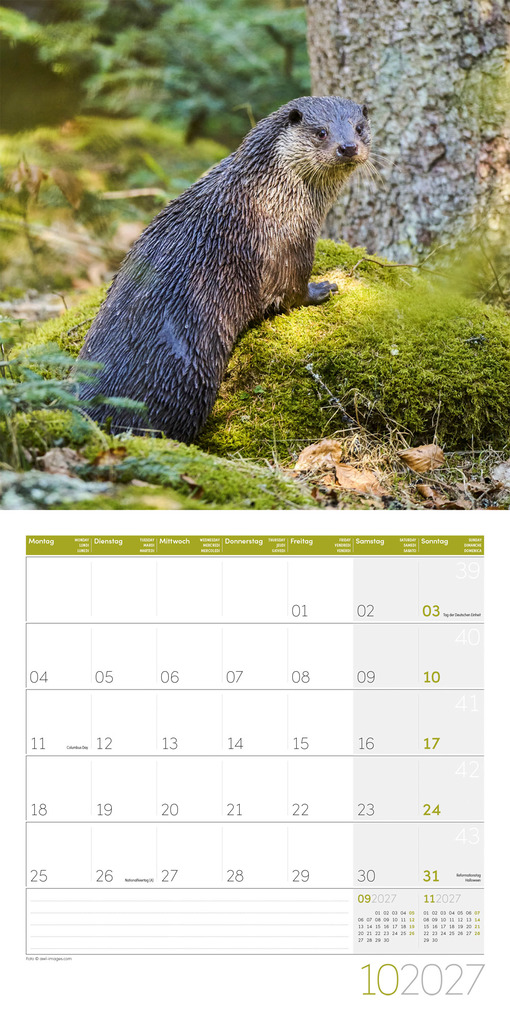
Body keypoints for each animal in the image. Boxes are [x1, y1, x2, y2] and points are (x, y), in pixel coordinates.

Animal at [77, 96, 371, 441]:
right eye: (321, 131)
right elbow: (289, 292)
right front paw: (323, 288)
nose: (348, 147)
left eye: (359, 128)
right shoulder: (287, 244)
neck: (265, 195)